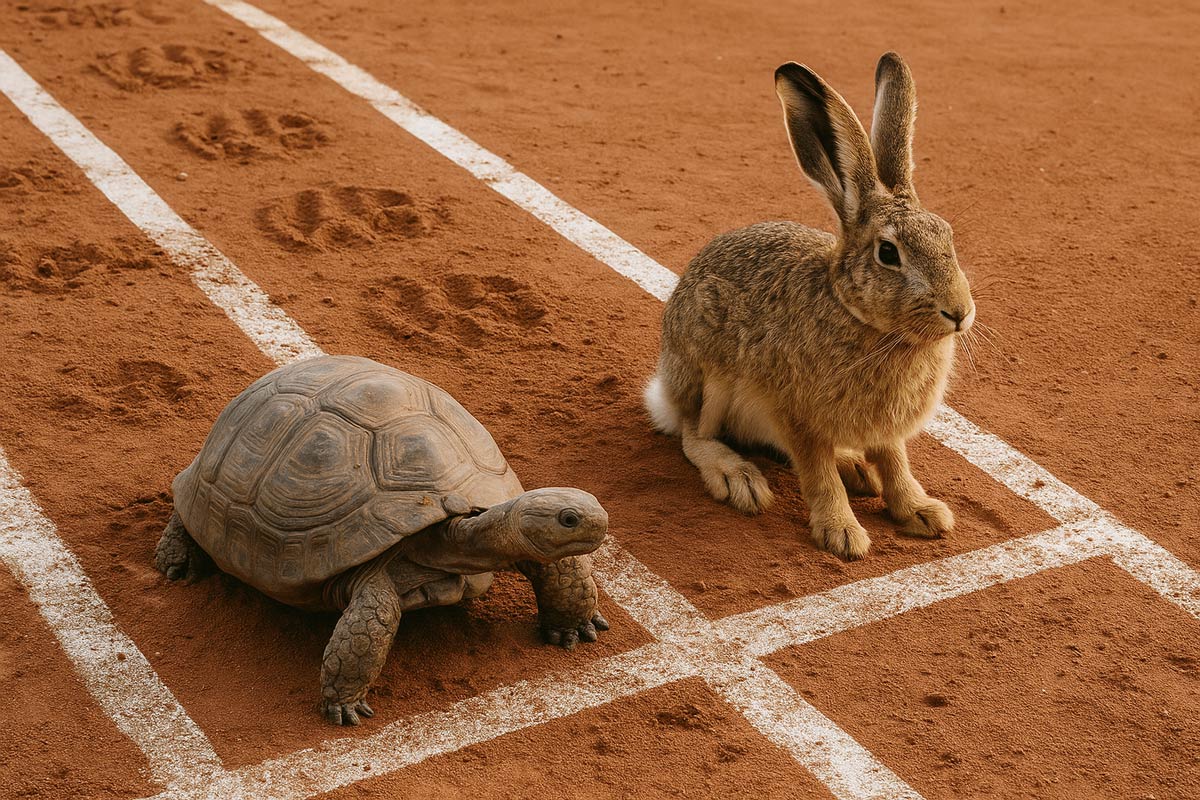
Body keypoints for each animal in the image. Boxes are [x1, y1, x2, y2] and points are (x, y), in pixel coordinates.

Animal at [644, 52, 975, 560]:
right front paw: (843, 534)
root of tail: (666, 389)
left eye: (947, 235)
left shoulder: (886, 430)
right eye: (888, 253)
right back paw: (737, 477)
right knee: (694, 435)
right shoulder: (798, 417)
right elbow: (818, 475)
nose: (959, 312)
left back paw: (854, 466)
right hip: (710, 372)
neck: (863, 320)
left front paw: (923, 513)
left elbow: (896, 464)